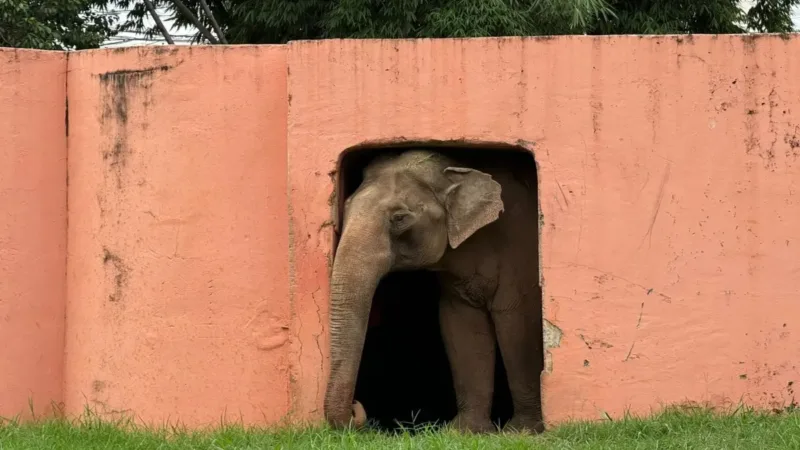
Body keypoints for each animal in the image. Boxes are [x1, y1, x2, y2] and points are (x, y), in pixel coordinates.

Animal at [324, 148, 543, 434]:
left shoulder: (519, 255)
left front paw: (521, 431)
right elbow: (461, 325)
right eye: (346, 207)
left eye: (399, 218)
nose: (356, 406)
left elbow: (516, 323)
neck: (458, 168)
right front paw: (465, 431)